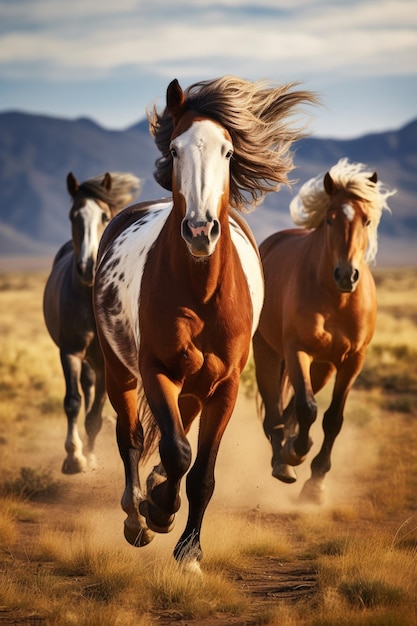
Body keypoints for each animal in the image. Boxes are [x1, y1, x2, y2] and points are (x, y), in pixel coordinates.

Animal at [42, 171, 141, 472]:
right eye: (73, 215)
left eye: (104, 215)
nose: (87, 267)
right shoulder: (70, 351)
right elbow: (73, 401)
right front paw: (74, 457)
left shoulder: (107, 359)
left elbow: (96, 412)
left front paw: (89, 451)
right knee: (84, 389)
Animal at [93, 75, 316, 568]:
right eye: (175, 149)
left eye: (228, 152)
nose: (199, 231)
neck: (201, 293)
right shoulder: (156, 371)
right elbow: (177, 452)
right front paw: (157, 513)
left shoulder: (227, 384)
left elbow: (201, 472)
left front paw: (189, 550)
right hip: (120, 371)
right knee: (131, 437)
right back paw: (136, 515)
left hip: (196, 384)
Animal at [252, 158, 394, 504]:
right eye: (330, 220)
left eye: (367, 220)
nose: (346, 275)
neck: (336, 299)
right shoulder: (297, 351)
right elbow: (307, 409)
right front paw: (296, 453)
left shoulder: (353, 360)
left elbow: (332, 418)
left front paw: (316, 483)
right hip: (269, 353)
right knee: (274, 409)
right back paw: (282, 459)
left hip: (323, 367)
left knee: (289, 407)